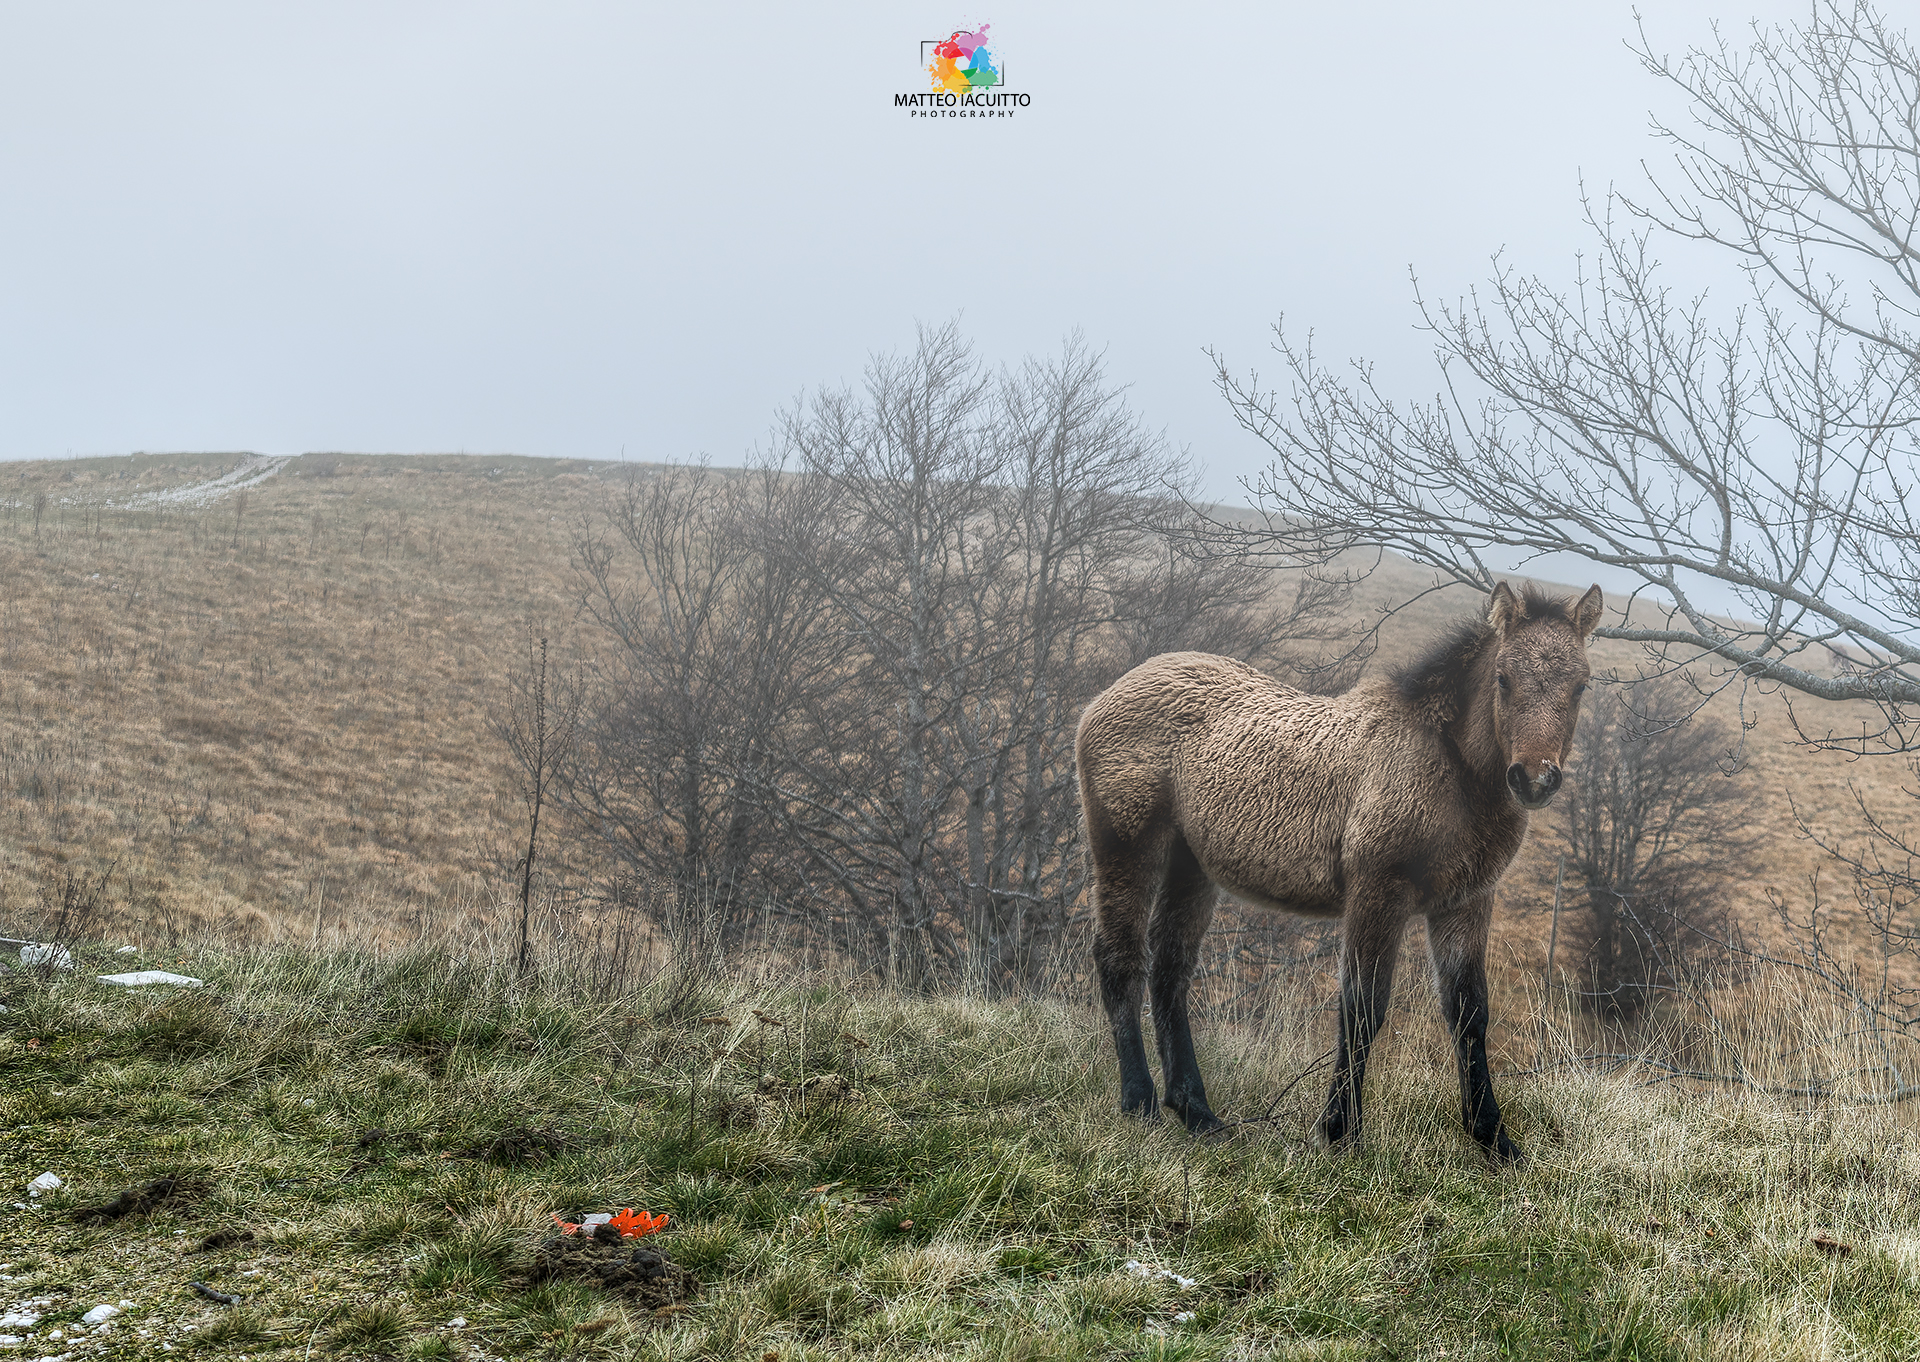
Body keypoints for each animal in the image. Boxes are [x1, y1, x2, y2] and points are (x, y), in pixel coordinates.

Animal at [1075, 581, 1602, 1163]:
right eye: (1504, 679)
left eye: (1581, 685)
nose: (1534, 779)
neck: (1449, 768)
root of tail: (1109, 693)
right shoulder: (1378, 890)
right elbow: (1362, 1006)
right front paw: (1340, 1131)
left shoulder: (1466, 901)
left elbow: (1470, 1012)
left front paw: (1492, 1136)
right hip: (1128, 847)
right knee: (1121, 957)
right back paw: (1140, 1102)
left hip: (1191, 868)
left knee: (1171, 969)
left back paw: (1197, 1112)